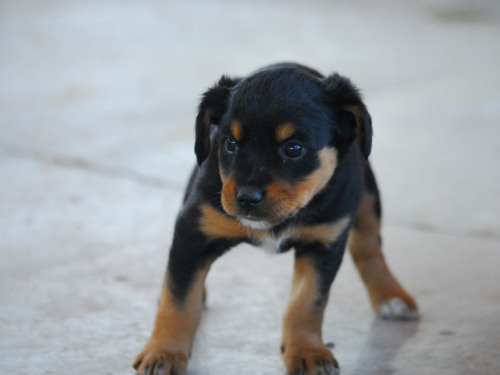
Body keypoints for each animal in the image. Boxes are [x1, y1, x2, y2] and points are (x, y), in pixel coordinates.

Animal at [133, 63, 418, 374]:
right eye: (230, 143)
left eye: (294, 148)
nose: (247, 198)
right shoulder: (193, 230)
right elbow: (179, 300)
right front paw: (164, 352)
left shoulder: (324, 242)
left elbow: (307, 303)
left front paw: (307, 352)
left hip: (367, 197)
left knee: (369, 247)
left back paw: (390, 296)